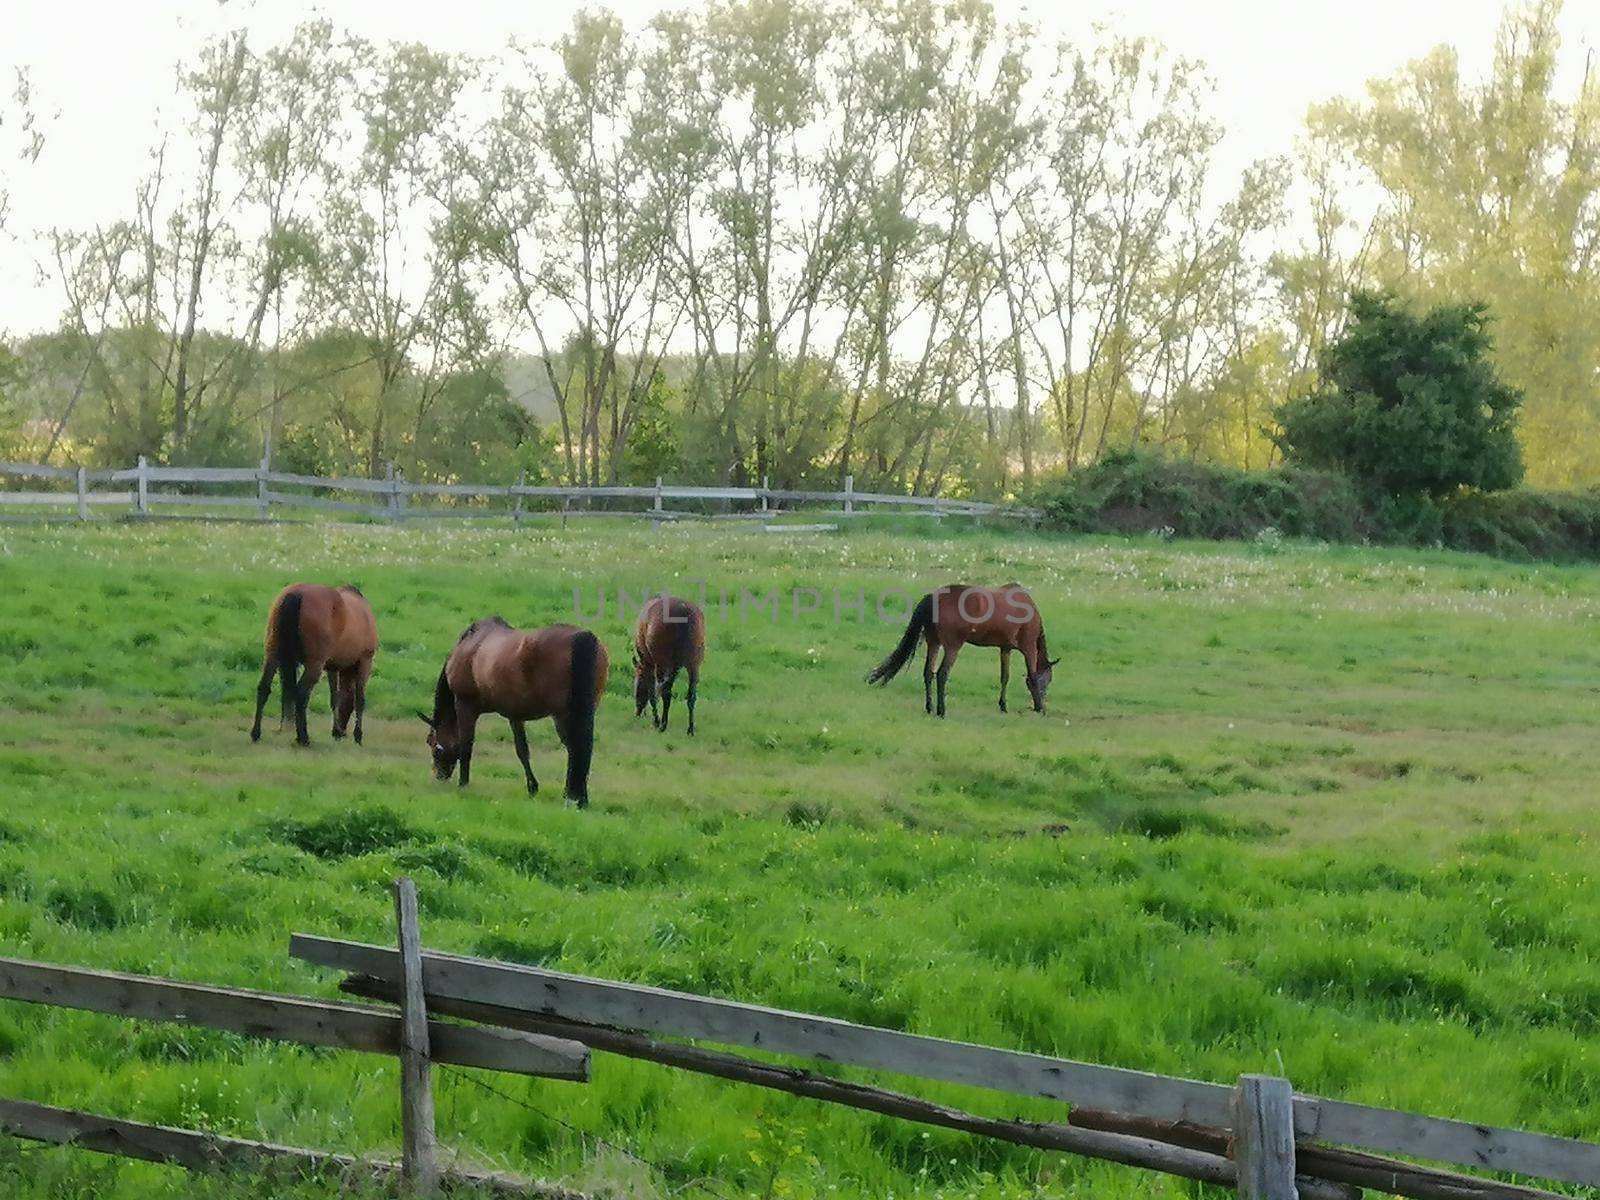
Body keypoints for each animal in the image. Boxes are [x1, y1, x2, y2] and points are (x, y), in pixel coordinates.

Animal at [251, 585, 379, 748]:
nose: (343, 732)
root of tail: (295, 594)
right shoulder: (365, 661)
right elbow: (360, 699)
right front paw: (358, 736)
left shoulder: (332, 667)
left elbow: (334, 697)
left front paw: (336, 731)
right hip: (314, 664)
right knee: (301, 693)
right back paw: (303, 738)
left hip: (273, 654)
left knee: (264, 688)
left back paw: (256, 733)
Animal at [419, 620, 604, 809]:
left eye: (431, 742)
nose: (439, 775)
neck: (470, 645)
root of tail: (583, 637)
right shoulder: (514, 714)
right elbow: (522, 750)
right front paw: (532, 787)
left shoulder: (465, 706)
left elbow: (466, 746)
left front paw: (463, 784)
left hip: (563, 715)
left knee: (575, 748)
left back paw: (573, 797)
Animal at [630, 598, 707, 739]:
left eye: (637, 681)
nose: (637, 711)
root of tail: (683, 610)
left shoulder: (652, 665)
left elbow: (652, 693)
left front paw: (656, 720)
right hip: (693, 665)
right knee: (691, 696)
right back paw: (690, 729)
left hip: (663, 664)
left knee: (664, 692)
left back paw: (662, 725)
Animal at [870, 585, 1056, 720]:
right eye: (1048, 680)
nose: (1042, 702)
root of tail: (933, 597)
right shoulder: (1029, 647)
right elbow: (1032, 676)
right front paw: (1040, 708)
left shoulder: (1005, 649)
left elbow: (1005, 677)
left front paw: (1003, 706)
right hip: (952, 647)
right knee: (942, 674)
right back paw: (941, 711)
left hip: (934, 643)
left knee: (928, 672)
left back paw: (930, 707)